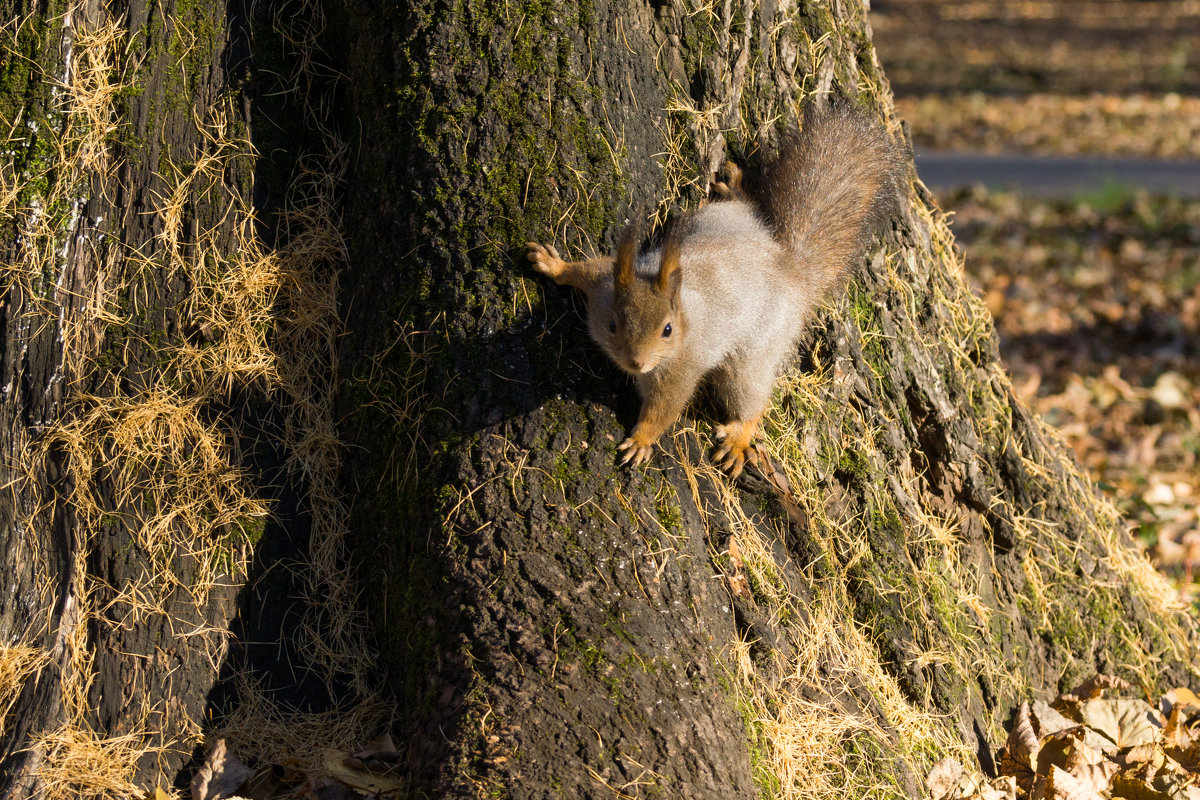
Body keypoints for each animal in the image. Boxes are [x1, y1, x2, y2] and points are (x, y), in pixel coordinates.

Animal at [530, 100, 902, 474]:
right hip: (723, 218)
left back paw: (739, 438)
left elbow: (666, 408)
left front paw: (642, 439)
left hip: (759, 347)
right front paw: (552, 264)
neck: (681, 310)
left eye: (667, 330)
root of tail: (789, 268)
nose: (637, 363)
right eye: (612, 325)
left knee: (751, 396)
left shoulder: (680, 368)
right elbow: (585, 269)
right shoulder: (604, 284)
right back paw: (733, 187)